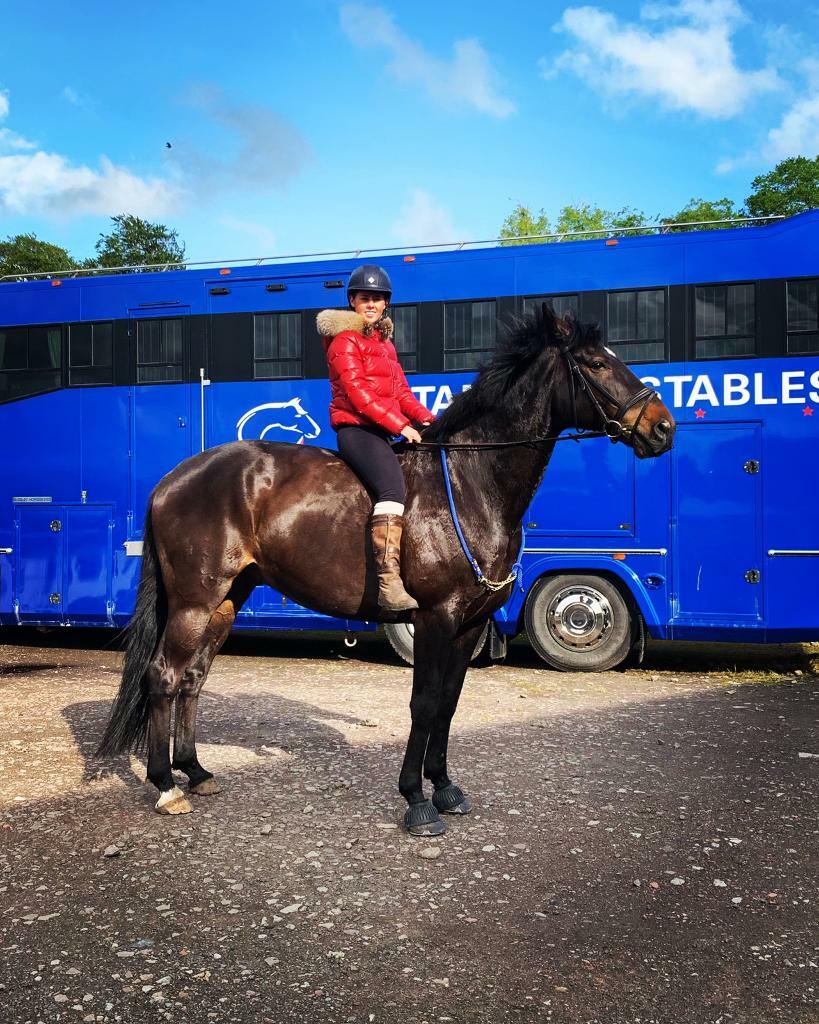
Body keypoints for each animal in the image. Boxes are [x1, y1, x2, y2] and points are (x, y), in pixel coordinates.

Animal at [97, 305, 675, 835]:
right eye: (597, 363)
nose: (663, 427)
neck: (469, 482)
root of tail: (172, 479)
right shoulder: (436, 618)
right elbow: (424, 703)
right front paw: (416, 800)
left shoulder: (469, 624)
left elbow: (449, 704)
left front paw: (445, 788)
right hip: (194, 603)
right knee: (163, 675)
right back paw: (166, 786)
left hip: (224, 602)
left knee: (193, 677)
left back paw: (194, 771)